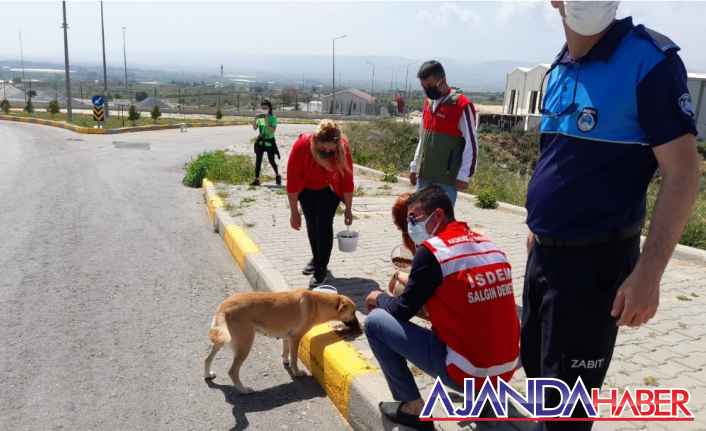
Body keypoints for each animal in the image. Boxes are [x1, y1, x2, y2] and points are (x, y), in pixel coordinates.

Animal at [202, 290, 358, 394]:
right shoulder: (295, 338)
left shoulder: (287, 337)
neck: (317, 304)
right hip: (244, 345)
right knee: (232, 371)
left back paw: (207, 374)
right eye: (353, 312)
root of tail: (224, 306)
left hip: (220, 340)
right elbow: (294, 358)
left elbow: (286, 351)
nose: (359, 328)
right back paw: (243, 389)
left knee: (207, 358)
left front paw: (285, 361)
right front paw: (297, 372)